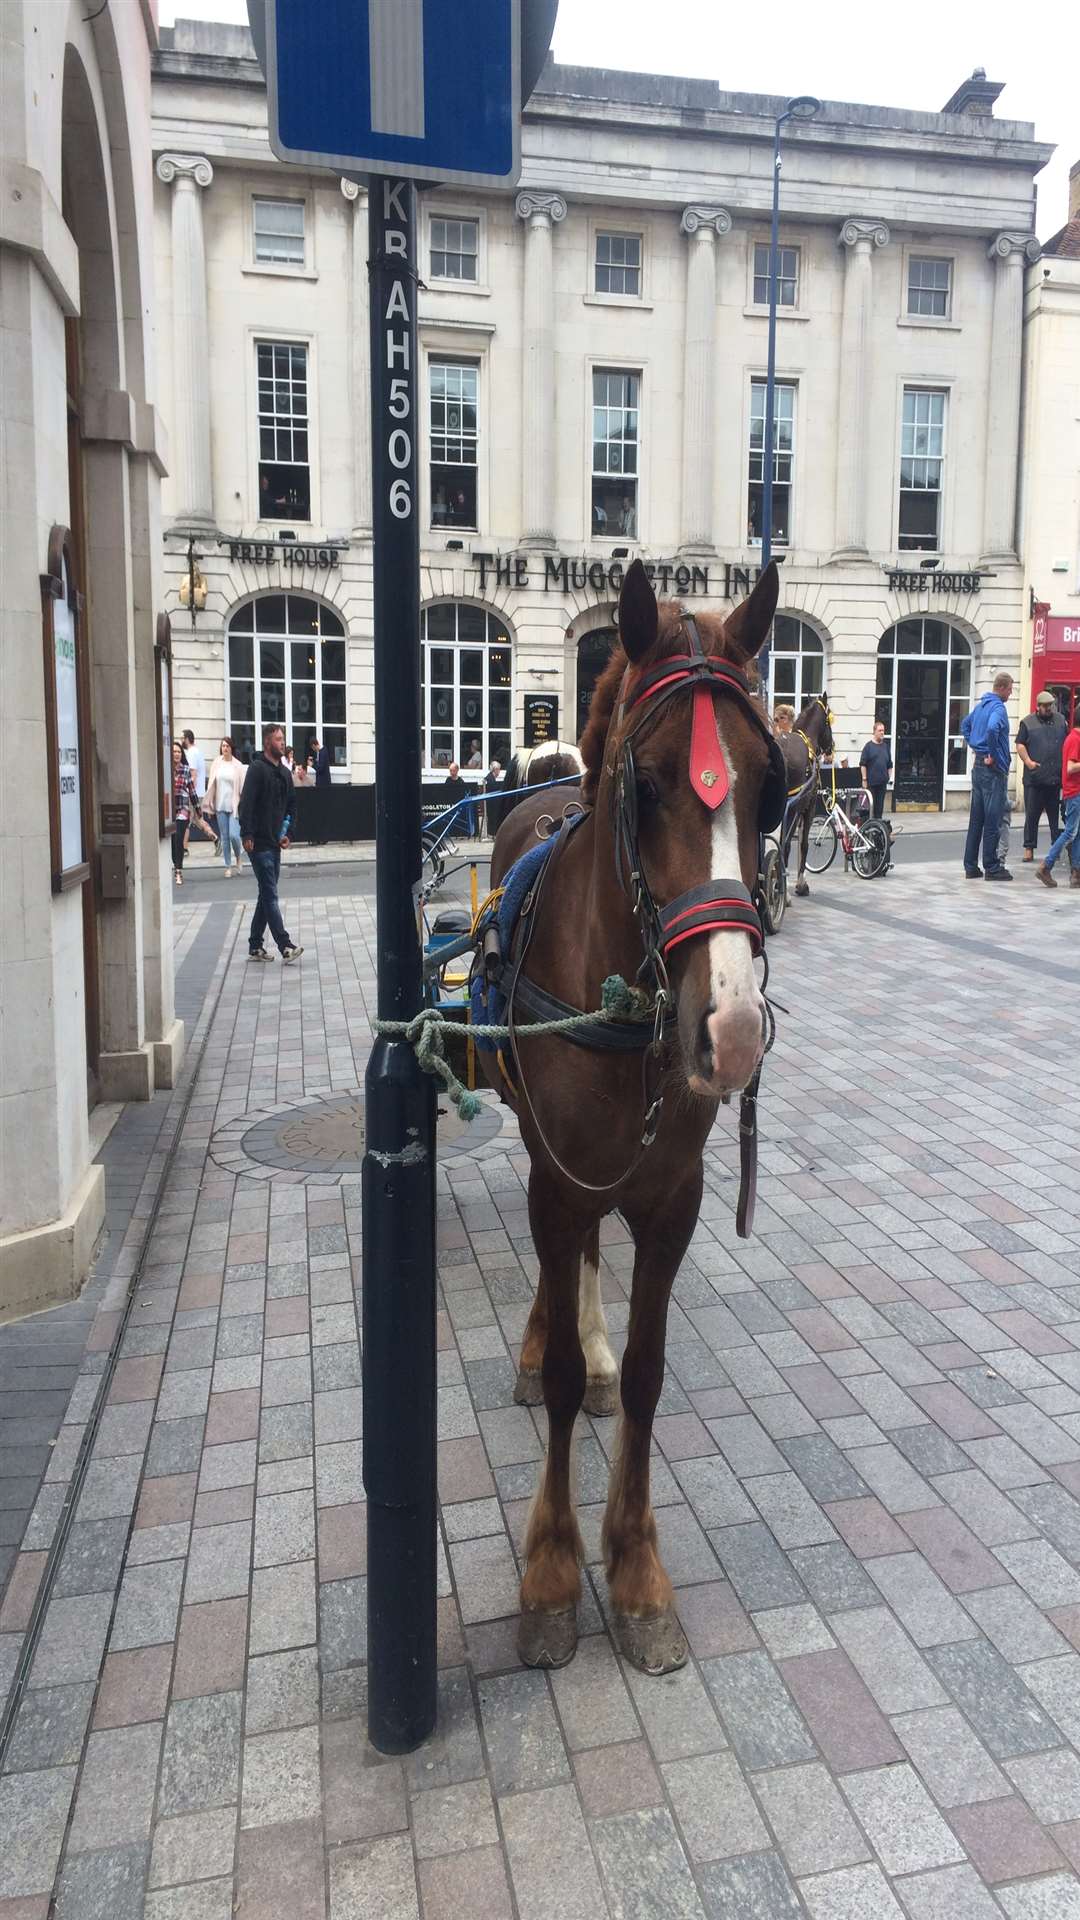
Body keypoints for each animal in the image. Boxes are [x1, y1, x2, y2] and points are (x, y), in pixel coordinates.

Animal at [480, 552, 780, 1666]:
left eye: (775, 786)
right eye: (646, 785)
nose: (730, 1032)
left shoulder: (670, 1199)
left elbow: (649, 1374)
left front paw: (638, 1567)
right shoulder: (559, 1179)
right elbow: (564, 1373)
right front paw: (554, 1570)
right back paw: (541, 1339)